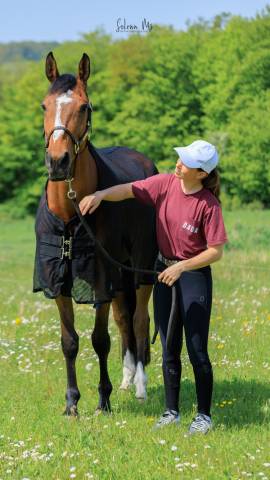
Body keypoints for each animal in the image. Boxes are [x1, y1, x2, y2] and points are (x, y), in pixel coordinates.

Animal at [33, 50, 158, 414]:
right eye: (44, 106)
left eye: (84, 107)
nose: (58, 162)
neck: (71, 214)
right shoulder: (58, 281)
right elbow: (69, 342)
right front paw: (72, 404)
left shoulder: (99, 278)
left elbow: (99, 340)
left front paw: (103, 400)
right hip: (121, 275)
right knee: (124, 319)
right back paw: (128, 380)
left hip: (141, 269)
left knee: (139, 320)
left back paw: (140, 386)